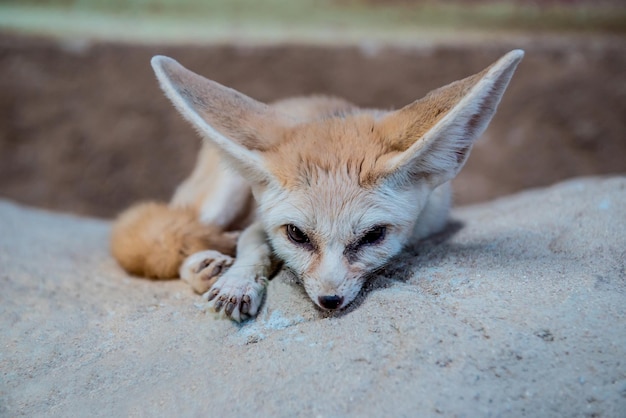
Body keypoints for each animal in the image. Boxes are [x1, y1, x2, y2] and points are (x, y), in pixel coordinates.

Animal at [112, 49, 520, 324]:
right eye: (297, 234)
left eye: (373, 236)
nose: (329, 301)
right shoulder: (262, 221)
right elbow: (251, 243)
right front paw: (237, 283)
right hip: (223, 196)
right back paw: (204, 266)